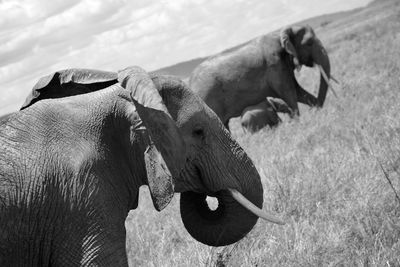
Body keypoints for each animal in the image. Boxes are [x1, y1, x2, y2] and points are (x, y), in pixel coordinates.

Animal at [189, 24, 332, 131]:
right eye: (309, 43)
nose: (319, 110)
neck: (280, 33)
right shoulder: (274, 65)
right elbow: (289, 93)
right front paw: (297, 124)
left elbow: (298, 92)